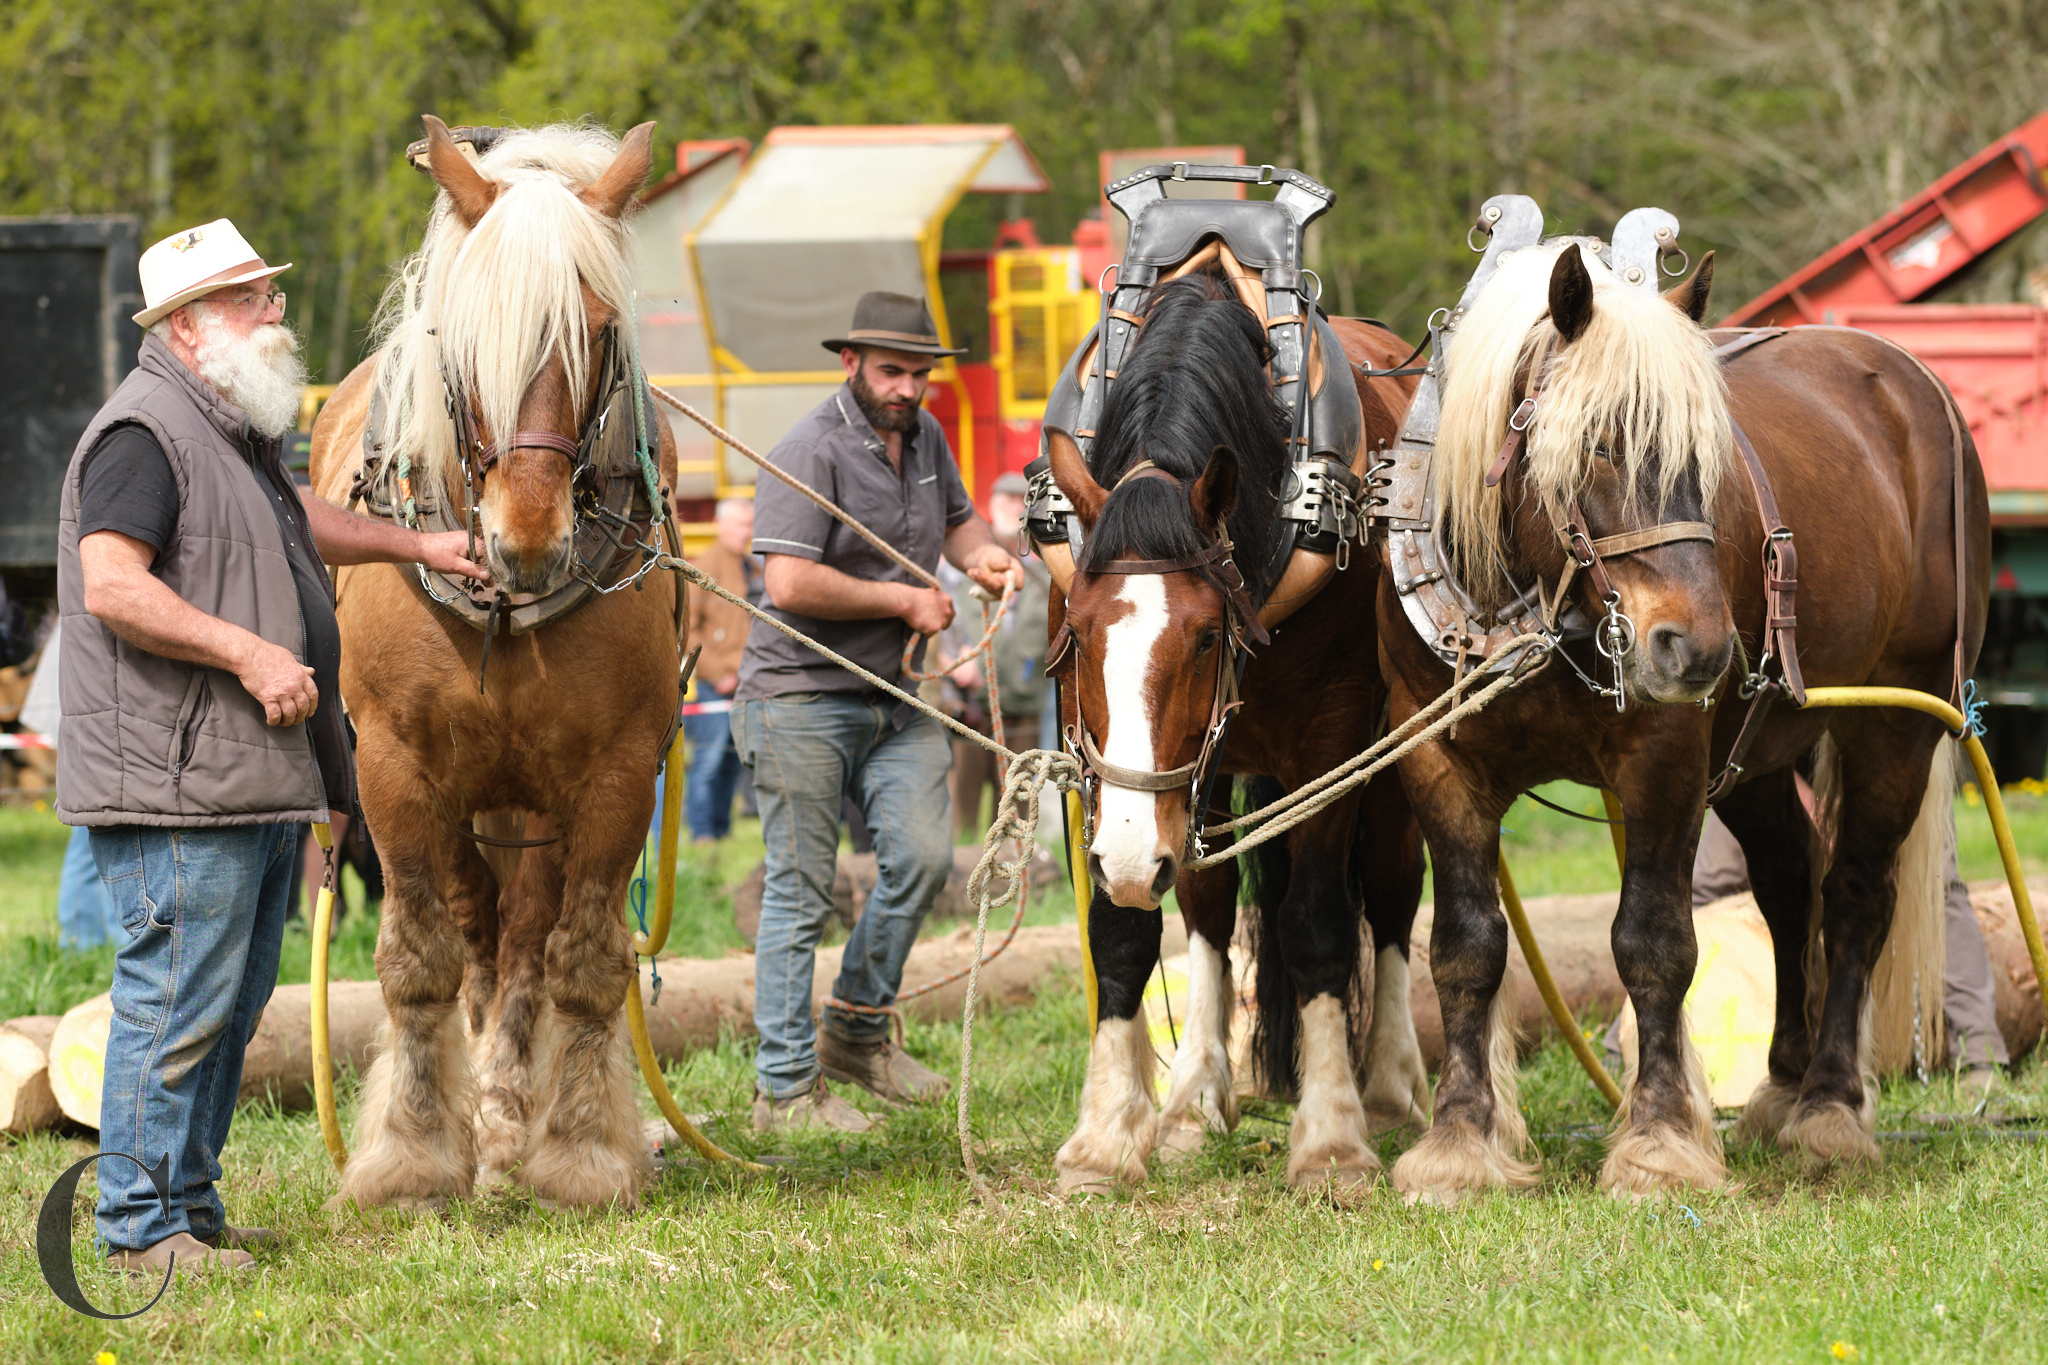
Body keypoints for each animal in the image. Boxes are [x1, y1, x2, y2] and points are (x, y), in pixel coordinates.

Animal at [307, 114, 679, 1203]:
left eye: (598, 330)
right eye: (464, 343)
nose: (527, 539)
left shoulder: (614, 774)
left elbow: (581, 960)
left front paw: (582, 1149)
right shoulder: (393, 771)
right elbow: (421, 959)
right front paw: (413, 1150)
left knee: (522, 937)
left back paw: (512, 1112)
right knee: (478, 930)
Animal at [1040, 274, 1425, 1195]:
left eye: (1208, 636)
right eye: (1080, 633)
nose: (1132, 856)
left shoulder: (1332, 739)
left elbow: (1317, 922)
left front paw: (1332, 1138)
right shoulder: (1104, 755)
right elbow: (1126, 928)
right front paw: (1109, 1134)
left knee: (1393, 891)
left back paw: (1389, 1088)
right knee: (1209, 905)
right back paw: (1195, 1097)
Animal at [1376, 240, 1982, 1203]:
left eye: (1710, 455)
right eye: (1596, 444)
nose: (1696, 648)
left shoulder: (1665, 759)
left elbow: (1654, 942)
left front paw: (1658, 1141)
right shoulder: (1437, 758)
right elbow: (1466, 946)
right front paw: (1460, 1142)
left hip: (1895, 718)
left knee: (1854, 896)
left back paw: (1829, 1107)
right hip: (1757, 748)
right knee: (1788, 883)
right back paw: (1783, 1083)